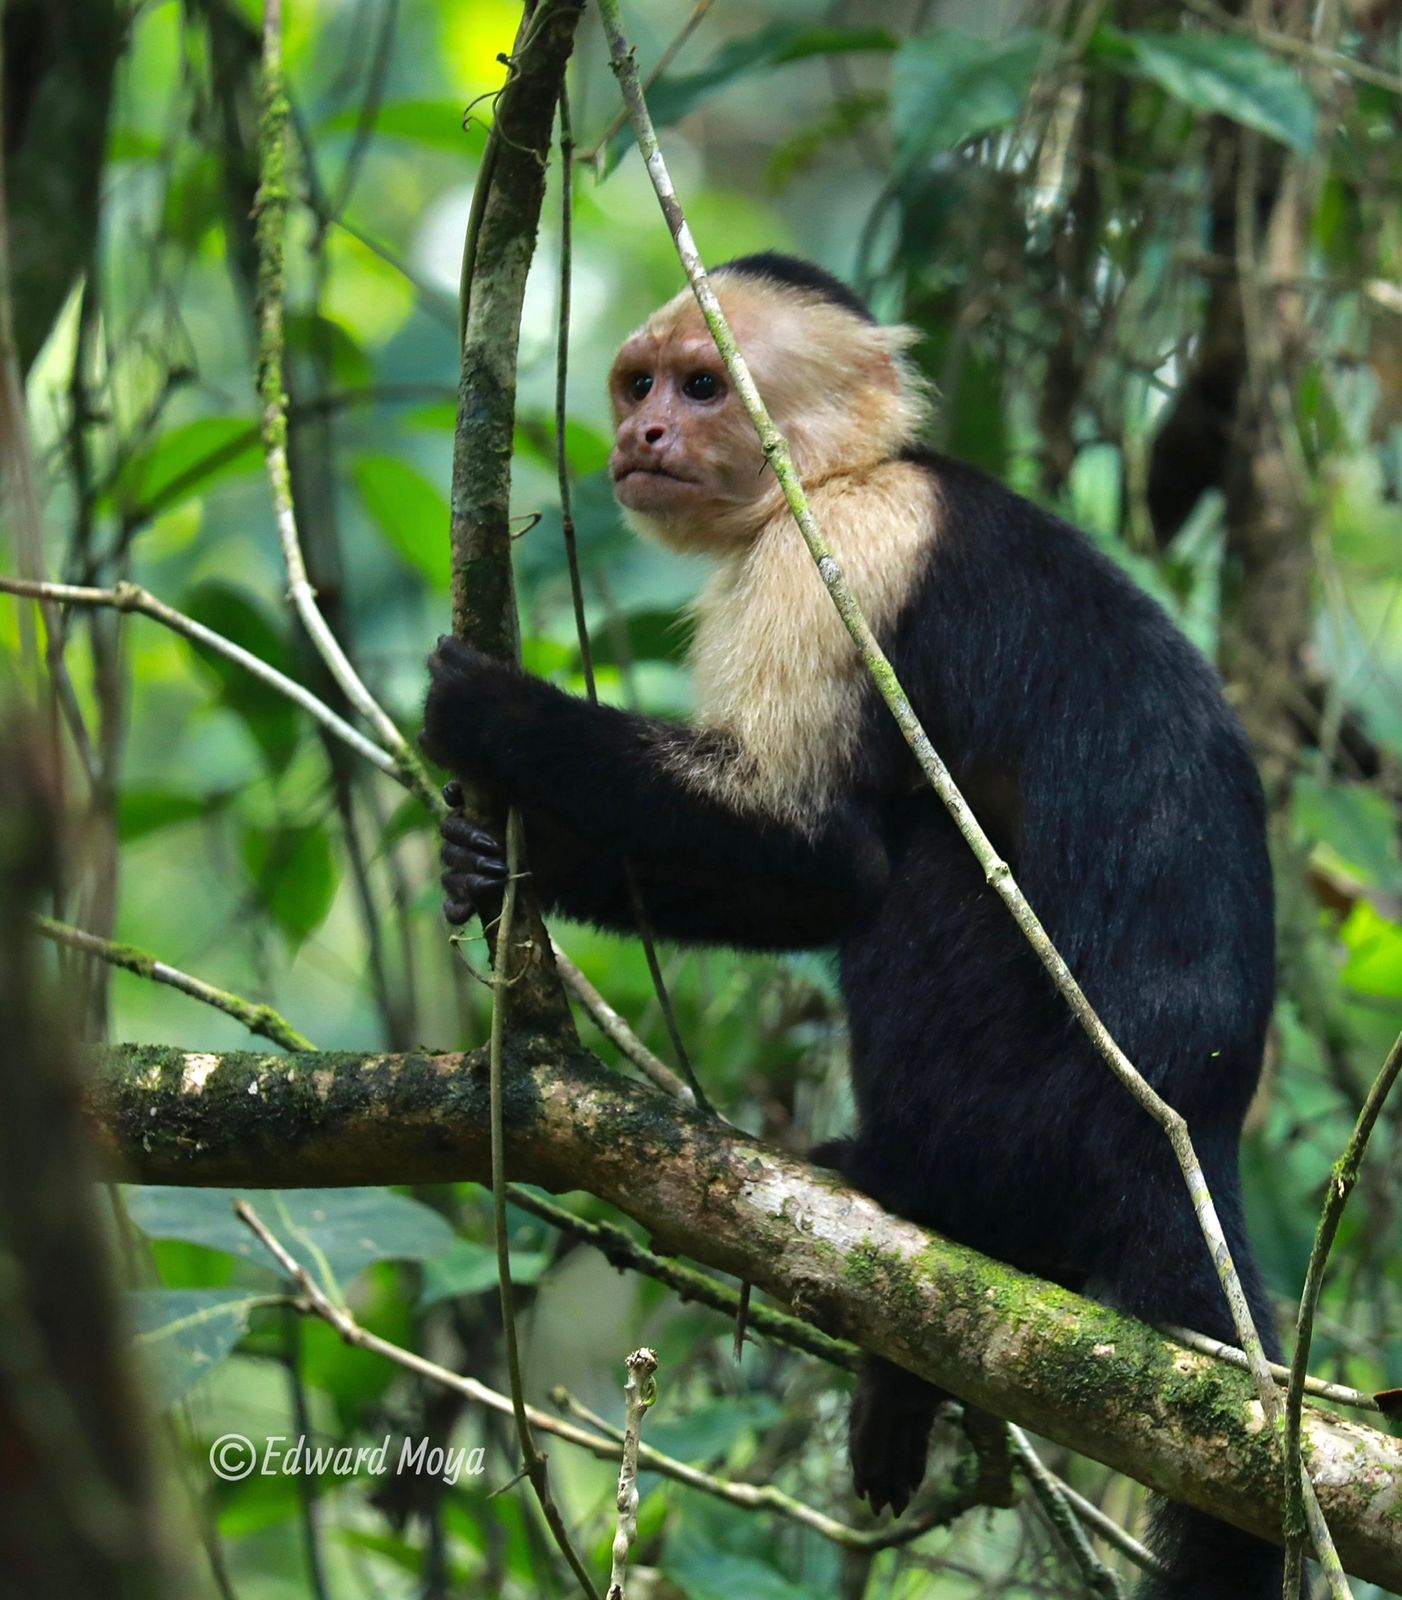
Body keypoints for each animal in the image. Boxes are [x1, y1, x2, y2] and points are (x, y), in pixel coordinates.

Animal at [422, 252, 1286, 1600]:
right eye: (635, 383)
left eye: (703, 385)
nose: (642, 433)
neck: (842, 469)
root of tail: (1191, 1139)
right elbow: (810, 883)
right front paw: (501, 863)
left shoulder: (837, 552)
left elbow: (821, 849)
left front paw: (494, 713)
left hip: (1036, 1113)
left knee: (922, 877)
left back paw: (900, 1180)